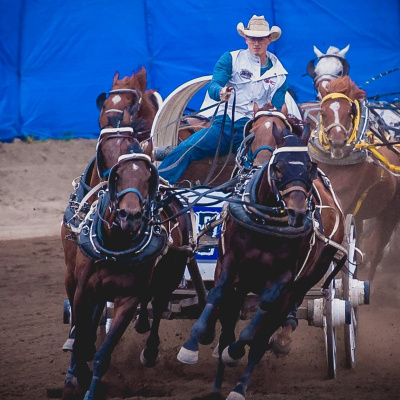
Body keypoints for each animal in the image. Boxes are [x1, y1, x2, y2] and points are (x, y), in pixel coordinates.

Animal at [62, 150, 197, 400]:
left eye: (148, 179)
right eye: (118, 176)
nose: (130, 215)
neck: (116, 248)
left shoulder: (127, 300)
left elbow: (103, 355)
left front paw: (90, 387)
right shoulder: (84, 292)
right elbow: (81, 340)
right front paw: (78, 374)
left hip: (171, 276)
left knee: (159, 303)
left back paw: (150, 350)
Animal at [177, 122, 346, 400]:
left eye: (310, 166)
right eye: (278, 166)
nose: (298, 214)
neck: (266, 223)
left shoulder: (283, 280)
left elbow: (257, 324)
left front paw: (235, 352)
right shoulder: (230, 263)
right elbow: (216, 296)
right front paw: (192, 346)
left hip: (297, 288)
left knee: (264, 330)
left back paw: (239, 385)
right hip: (245, 284)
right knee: (229, 324)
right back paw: (217, 385)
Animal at [306, 76, 400, 280]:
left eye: (349, 112)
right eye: (323, 113)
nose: (337, 143)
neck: (334, 163)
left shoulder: (344, 199)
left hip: (389, 214)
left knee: (375, 253)